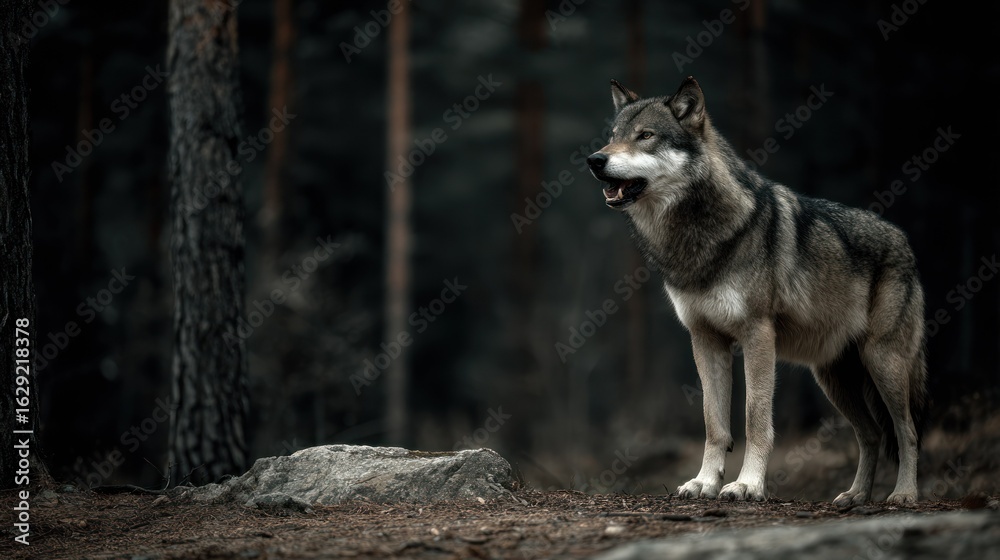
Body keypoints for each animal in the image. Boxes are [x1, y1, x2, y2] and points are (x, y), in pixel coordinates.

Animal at [587, 76, 927, 505]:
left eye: (645, 136)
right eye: (612, 137)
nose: (594, 160)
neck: (697, 236)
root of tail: (904, 240)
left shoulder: (758, 334)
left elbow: (754, 417)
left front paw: (747, 484)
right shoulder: (705, 338)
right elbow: (713, 422)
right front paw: (704, 482)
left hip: (884, 364)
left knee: (907, 431)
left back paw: (904, 494)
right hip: (833, 378)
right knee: (871, 434)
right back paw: (855, 496)